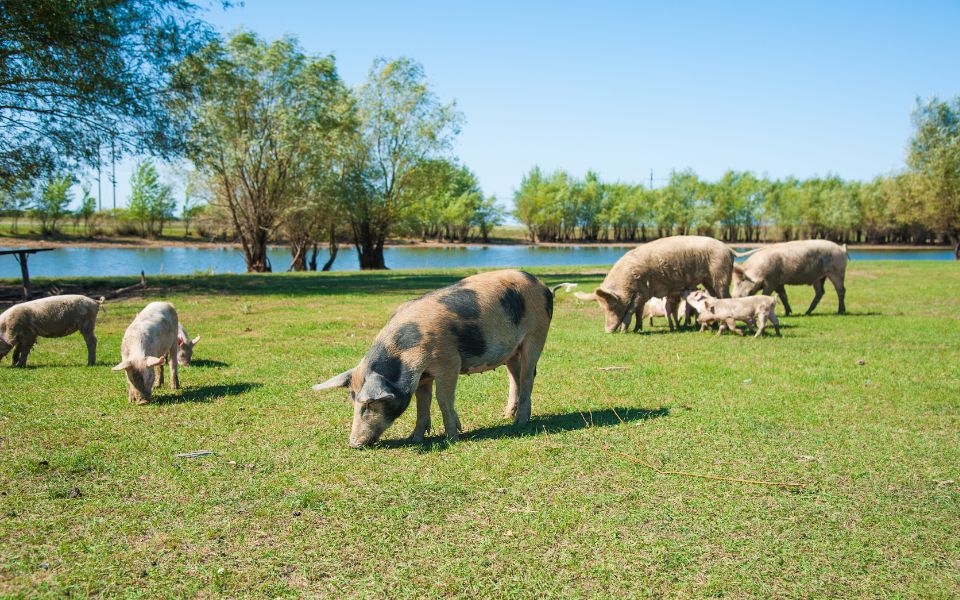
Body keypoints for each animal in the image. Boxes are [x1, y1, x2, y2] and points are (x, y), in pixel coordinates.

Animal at [312, 270, 576, 448]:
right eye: (353, 401)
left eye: (368, 405)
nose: (353, 443)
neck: (404, 355)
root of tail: (544, 286)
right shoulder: (423, 376)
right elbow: (422, 404)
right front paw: (415, 438)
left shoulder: (449, 362)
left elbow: (443, 399)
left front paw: (453, 437)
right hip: (512, 349)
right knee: (515, 377)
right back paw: (506, 415)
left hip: (536, 334)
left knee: (528, 376)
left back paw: (519, 423)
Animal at [574, 235, 748, 333]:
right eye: (602, 307)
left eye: (612, 306)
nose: (607, 331)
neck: (626, 284)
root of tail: (728, 249)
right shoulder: (643, 293)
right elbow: (638, 312)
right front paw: (637, 329)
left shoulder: (640, 293)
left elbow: (631, 311)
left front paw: (624, 331)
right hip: (709, 280)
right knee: (714, 297)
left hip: (721, 274)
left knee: (725, 296)